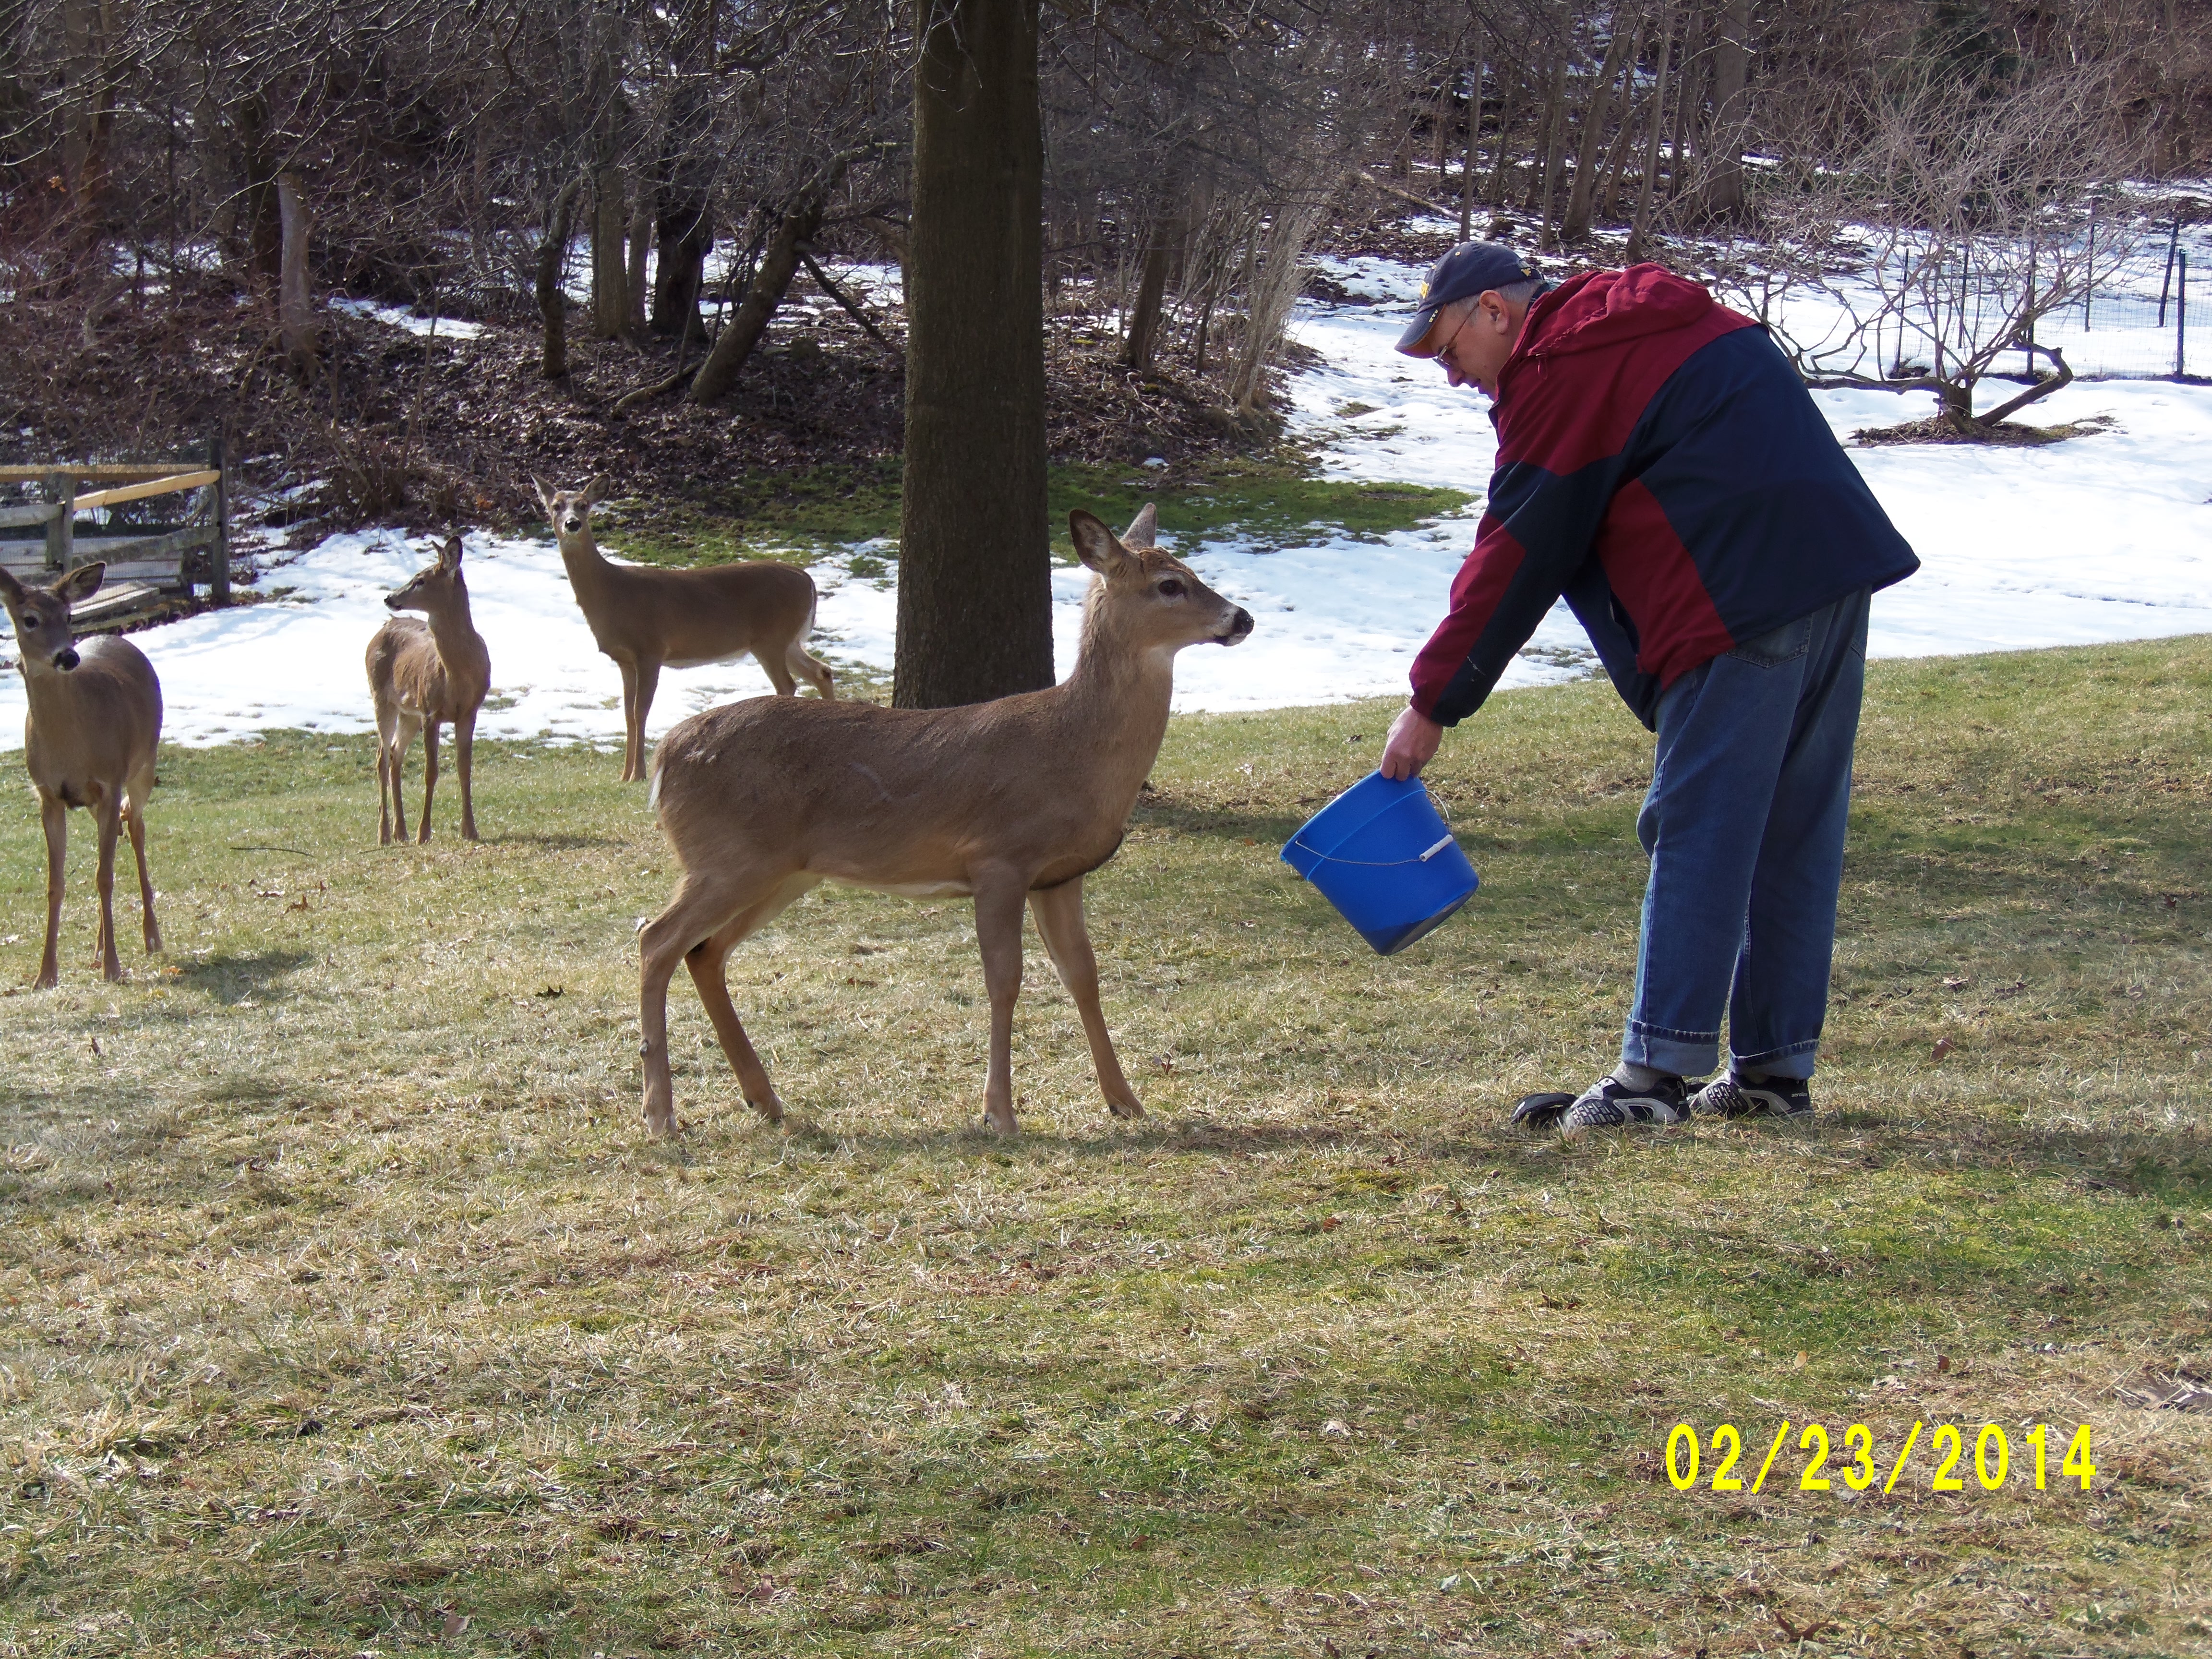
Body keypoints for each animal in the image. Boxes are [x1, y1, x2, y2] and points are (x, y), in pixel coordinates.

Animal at [0, 562, 163, 988]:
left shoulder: (109, 783)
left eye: (70, 616)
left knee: (136, 826)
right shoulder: (49, 796)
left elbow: (104, 877)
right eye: (30, 619)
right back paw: (98, 950)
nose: (68, 656)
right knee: (121, 829)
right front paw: (46, 975)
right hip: (93, 800)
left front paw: (114, 970)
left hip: (144, 764)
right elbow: (55, 884)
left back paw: (151, 937)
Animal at [366, 532, 492, 844]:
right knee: (382, 757)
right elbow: (430, 772)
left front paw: (470, 830)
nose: (389, 597)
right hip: (381, 698)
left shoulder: (470, 712)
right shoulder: (430, 711)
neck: (458, 674)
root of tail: (381, 629)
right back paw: (385, 835)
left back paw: (400, 832)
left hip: (408, 713)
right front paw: (424, 833)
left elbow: (464, 768)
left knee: (395, 755)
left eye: (420, 580)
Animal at [533, 476, 835, 782]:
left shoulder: (651, 649)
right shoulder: (624, 659)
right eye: (556, 506)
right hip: (787, 641)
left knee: (788, 685)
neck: (612, 592)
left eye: (584, 505)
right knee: (821, 671)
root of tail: (809, 581)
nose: (572, 524)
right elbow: (628, 714)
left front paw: (639, 774)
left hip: (771, 640)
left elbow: (641, 711)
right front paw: (624, 775)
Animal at [637, 504, 1253, 1137]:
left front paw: (1125, 1101)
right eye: (1170, 585)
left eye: (1192, 571)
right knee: (656, 940)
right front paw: (999, 1112)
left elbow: (1082, 975)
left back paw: (763, 1099)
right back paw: (661, 1113)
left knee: (705, 952)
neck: (1073, 748)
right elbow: (1005, 980)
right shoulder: (999, 858)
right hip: (728, 859)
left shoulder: (1060, 876)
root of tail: (664, 758)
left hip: (782, 871)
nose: (1243, 618)